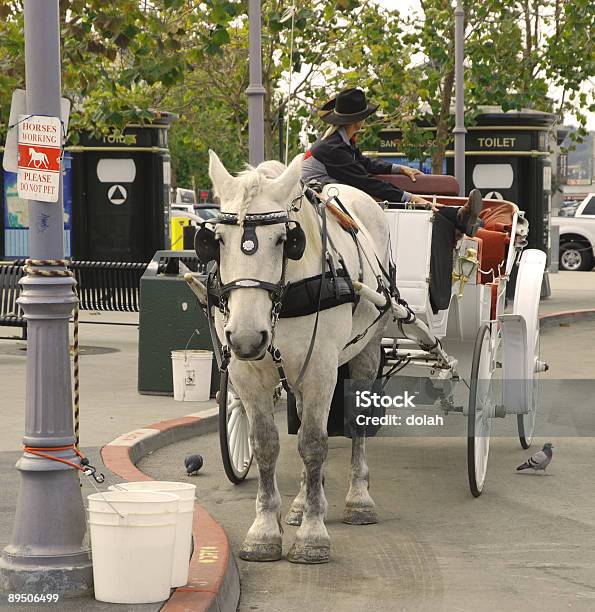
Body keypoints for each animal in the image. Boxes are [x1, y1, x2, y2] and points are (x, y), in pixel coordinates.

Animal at [205, 149, 392, 564]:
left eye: (284, 240)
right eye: (217, 240)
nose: (246, 335)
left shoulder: (322, 369)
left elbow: (314, 443)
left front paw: (312, 534)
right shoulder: (247, 373)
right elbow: (265, 444)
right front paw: (265, 529)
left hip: (366, 350)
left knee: (354, 423)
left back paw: (358, 498)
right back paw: (302, 499)